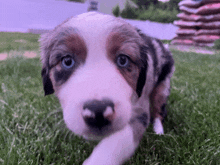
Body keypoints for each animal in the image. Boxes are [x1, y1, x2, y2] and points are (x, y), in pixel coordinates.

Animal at [40, 11, 175, 165]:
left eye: (123, 60)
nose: (97, 112)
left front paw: (98, 159)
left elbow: (120, 139)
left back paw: (158, 130)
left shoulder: (140, 109)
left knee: (159, 110)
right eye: (67, 61)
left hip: (162, 87)